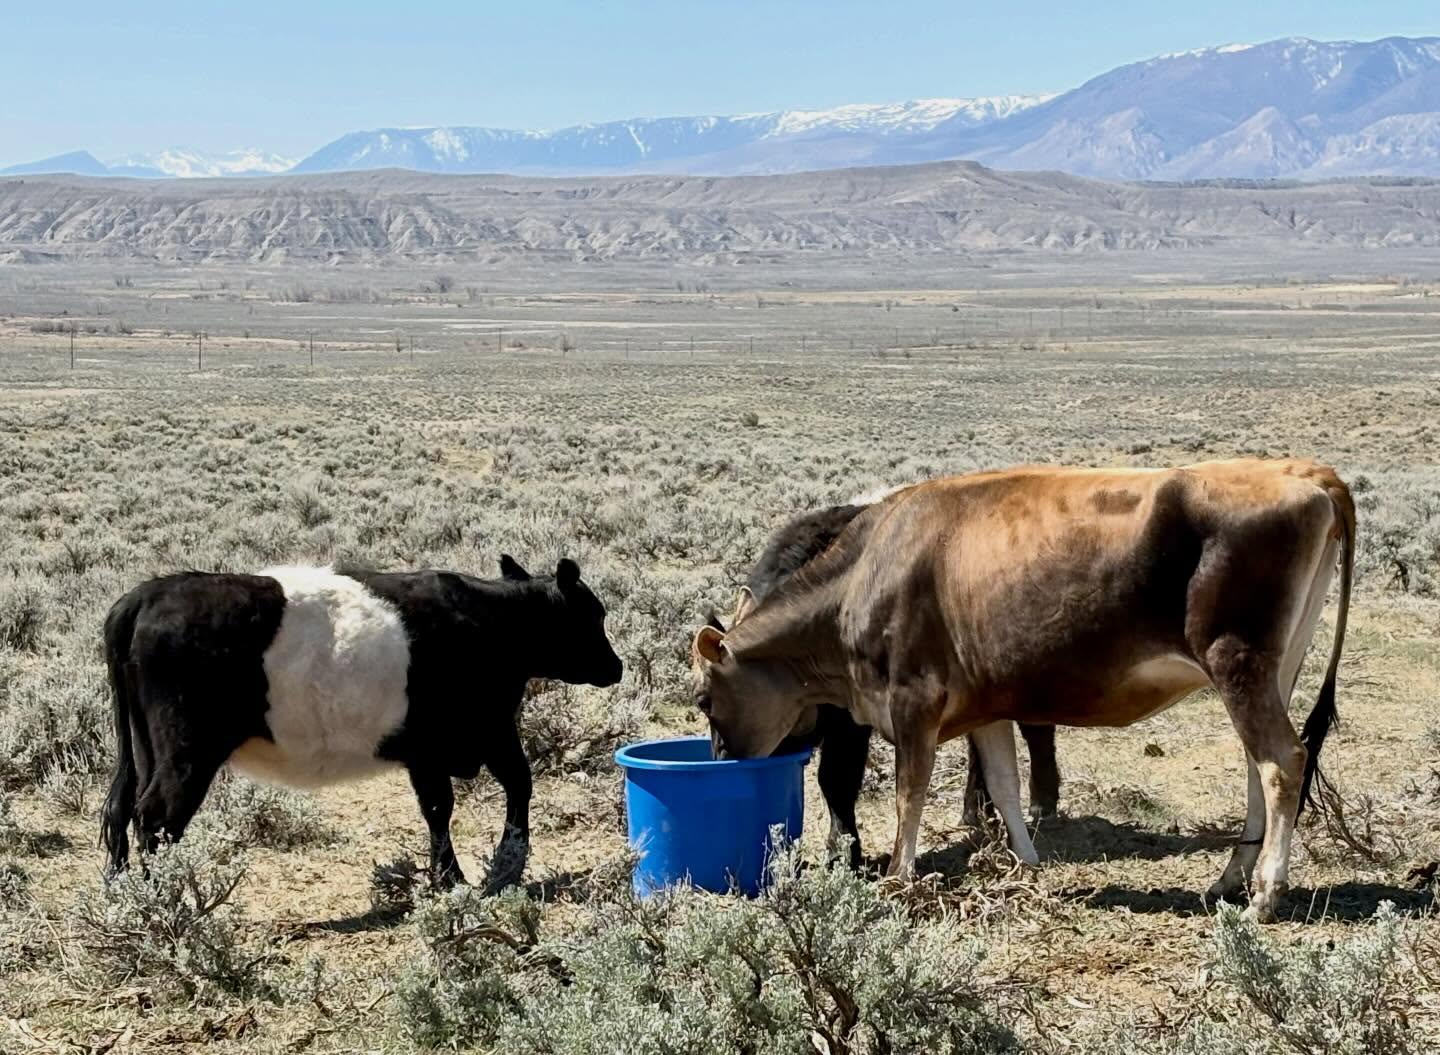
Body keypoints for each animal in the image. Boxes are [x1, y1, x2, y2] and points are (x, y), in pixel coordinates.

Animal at [100, 556, 623, 893]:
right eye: (593, 614)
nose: (615, 667)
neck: (493, 622)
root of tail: (146, 594)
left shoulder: (449, 745)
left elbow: (461, 801)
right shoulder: (474, 733)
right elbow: (473, 797)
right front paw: (480, 871)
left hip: (145, 747)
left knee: (121, 807)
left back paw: (123, 894)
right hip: (187, 748)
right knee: (155, 817)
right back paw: (162, 898)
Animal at [717, 497, 1062, 871]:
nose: (721, 755)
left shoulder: (851, 720)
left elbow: (836, 778)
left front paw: (843, 853)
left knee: (1036, 729)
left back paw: (1041, 800)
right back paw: (976, 810)